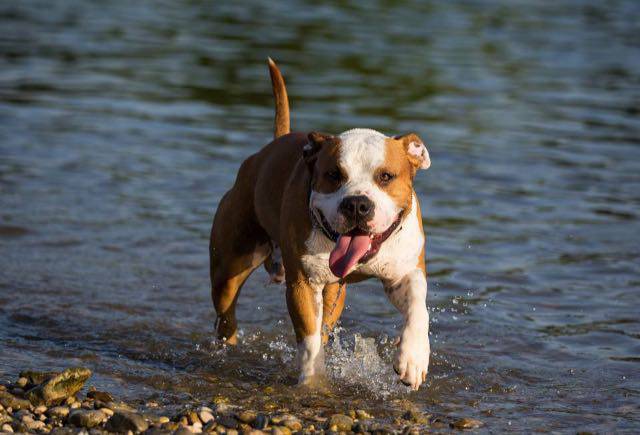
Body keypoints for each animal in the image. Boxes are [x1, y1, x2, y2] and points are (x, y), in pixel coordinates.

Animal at [209, 58, 430, 392]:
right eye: (333, 175)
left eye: (386, 177)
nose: (357, 204)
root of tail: (269, 148)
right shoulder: (303, 284)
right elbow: (310, 339)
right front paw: (314, 383)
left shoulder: (404, 272)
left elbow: (419, 305)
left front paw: (413, 358)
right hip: (229, 270)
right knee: (226, 316)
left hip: (334, 291)